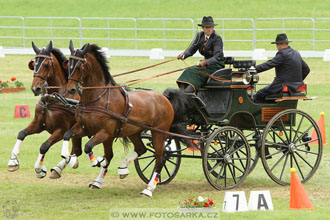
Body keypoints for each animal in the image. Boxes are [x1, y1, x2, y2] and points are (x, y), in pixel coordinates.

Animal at [7, 40, 81, 179]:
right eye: (34, 63)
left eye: (46, 65)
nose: (35, 88)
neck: (53, 99)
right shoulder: (39, 124)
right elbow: (21, 133)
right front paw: (13, 161)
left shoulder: (61, 130)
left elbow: (44, 146)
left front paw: (39, 169)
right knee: (77, 151)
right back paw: (59, 168)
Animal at [61, 40, 188, 197]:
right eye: (69, 64)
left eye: (80, 66)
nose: (71, 89)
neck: (98, 98)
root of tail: (164, 97)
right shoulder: (84, 128)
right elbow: (67, 135)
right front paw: (68, 157)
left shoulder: (105, 133)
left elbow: (88, 147)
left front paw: (97, 161)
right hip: (134, 131)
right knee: (141, 149)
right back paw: (123, 168)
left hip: (159, 133)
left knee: (160, 158)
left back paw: (149, 188)